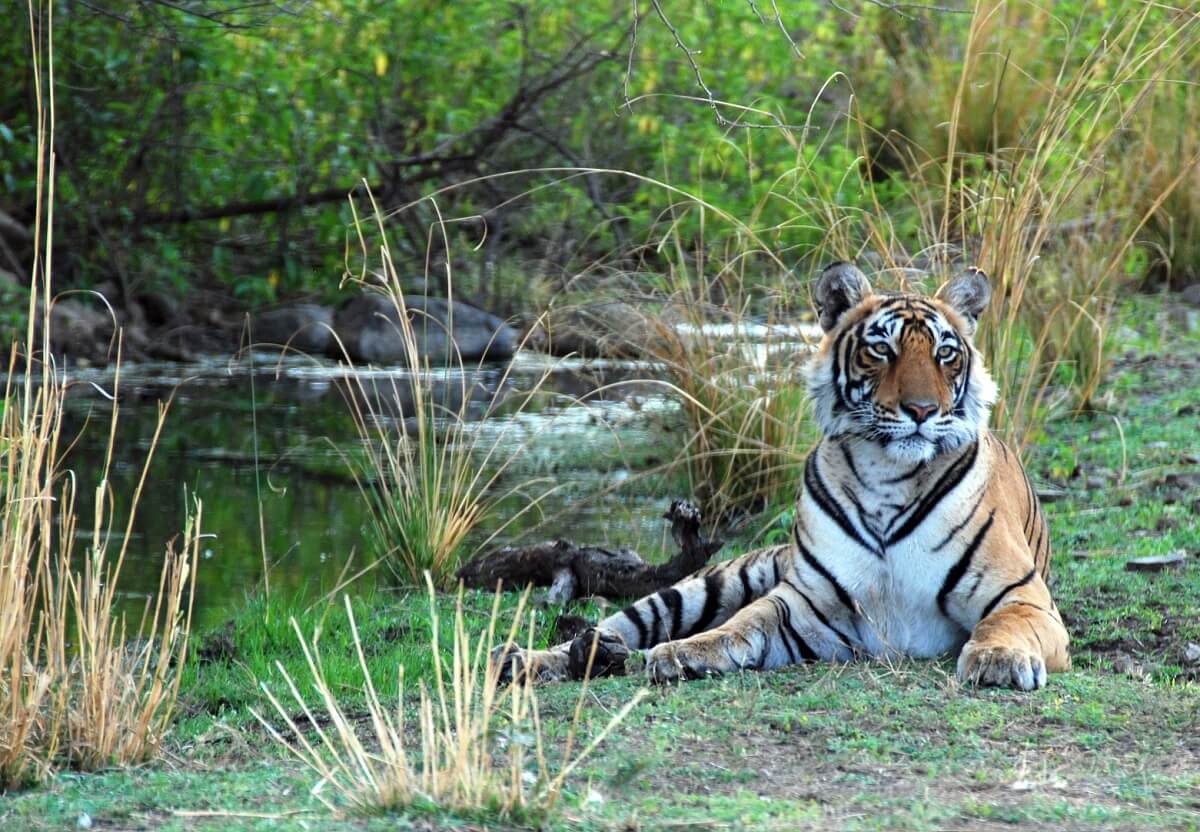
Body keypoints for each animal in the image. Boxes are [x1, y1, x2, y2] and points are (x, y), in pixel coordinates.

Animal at [496, 264, 1070, 686]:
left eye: (945, 353)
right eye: (881, 349)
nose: (922, 410)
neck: (888, 474)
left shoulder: (1023, 598)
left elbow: (1002, 625)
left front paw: (998, 660)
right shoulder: (802, 605)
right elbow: (739, 625)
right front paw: (681, 652)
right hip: (700, 586)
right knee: (612, 624)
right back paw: (532, 659)